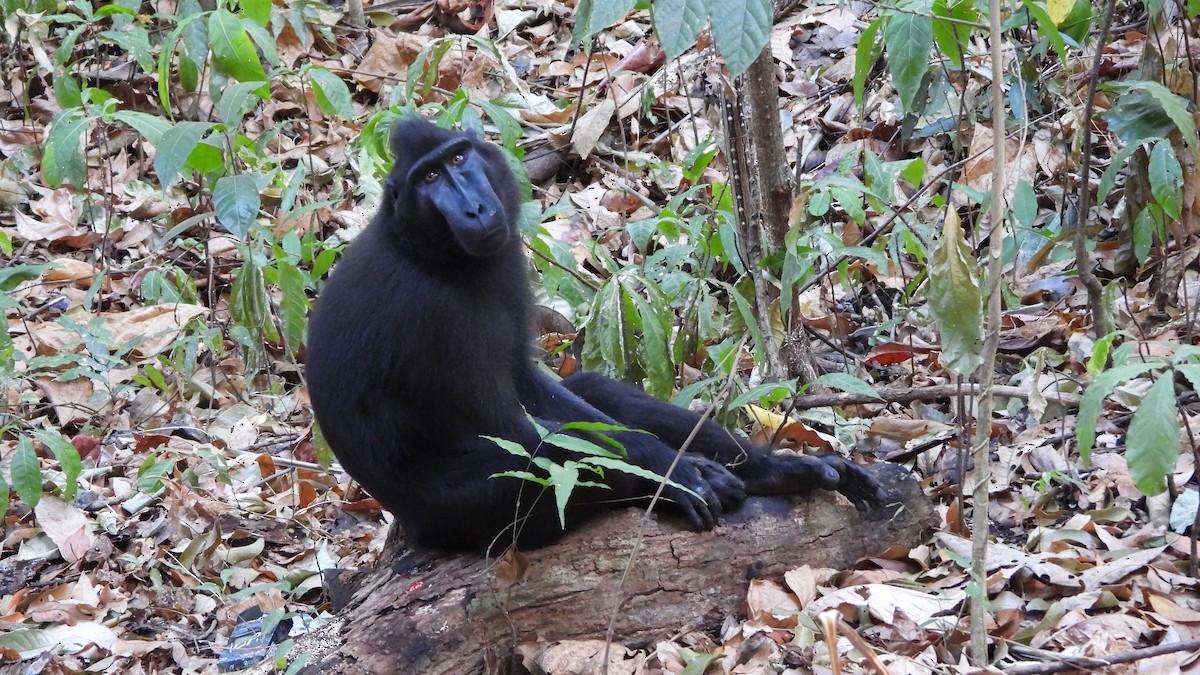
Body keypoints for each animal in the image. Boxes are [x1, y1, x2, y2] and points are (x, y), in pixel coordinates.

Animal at [306, 118, 885, 552]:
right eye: (428, 179)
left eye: (458, 160)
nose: (473, 206)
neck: (430, 253)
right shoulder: (429, 313)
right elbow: (503, 422)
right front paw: (671, 470)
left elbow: (534, 386)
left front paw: (734, 465)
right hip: (455, 511)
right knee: (547, 465)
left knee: (594, 393)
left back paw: (779, 472)